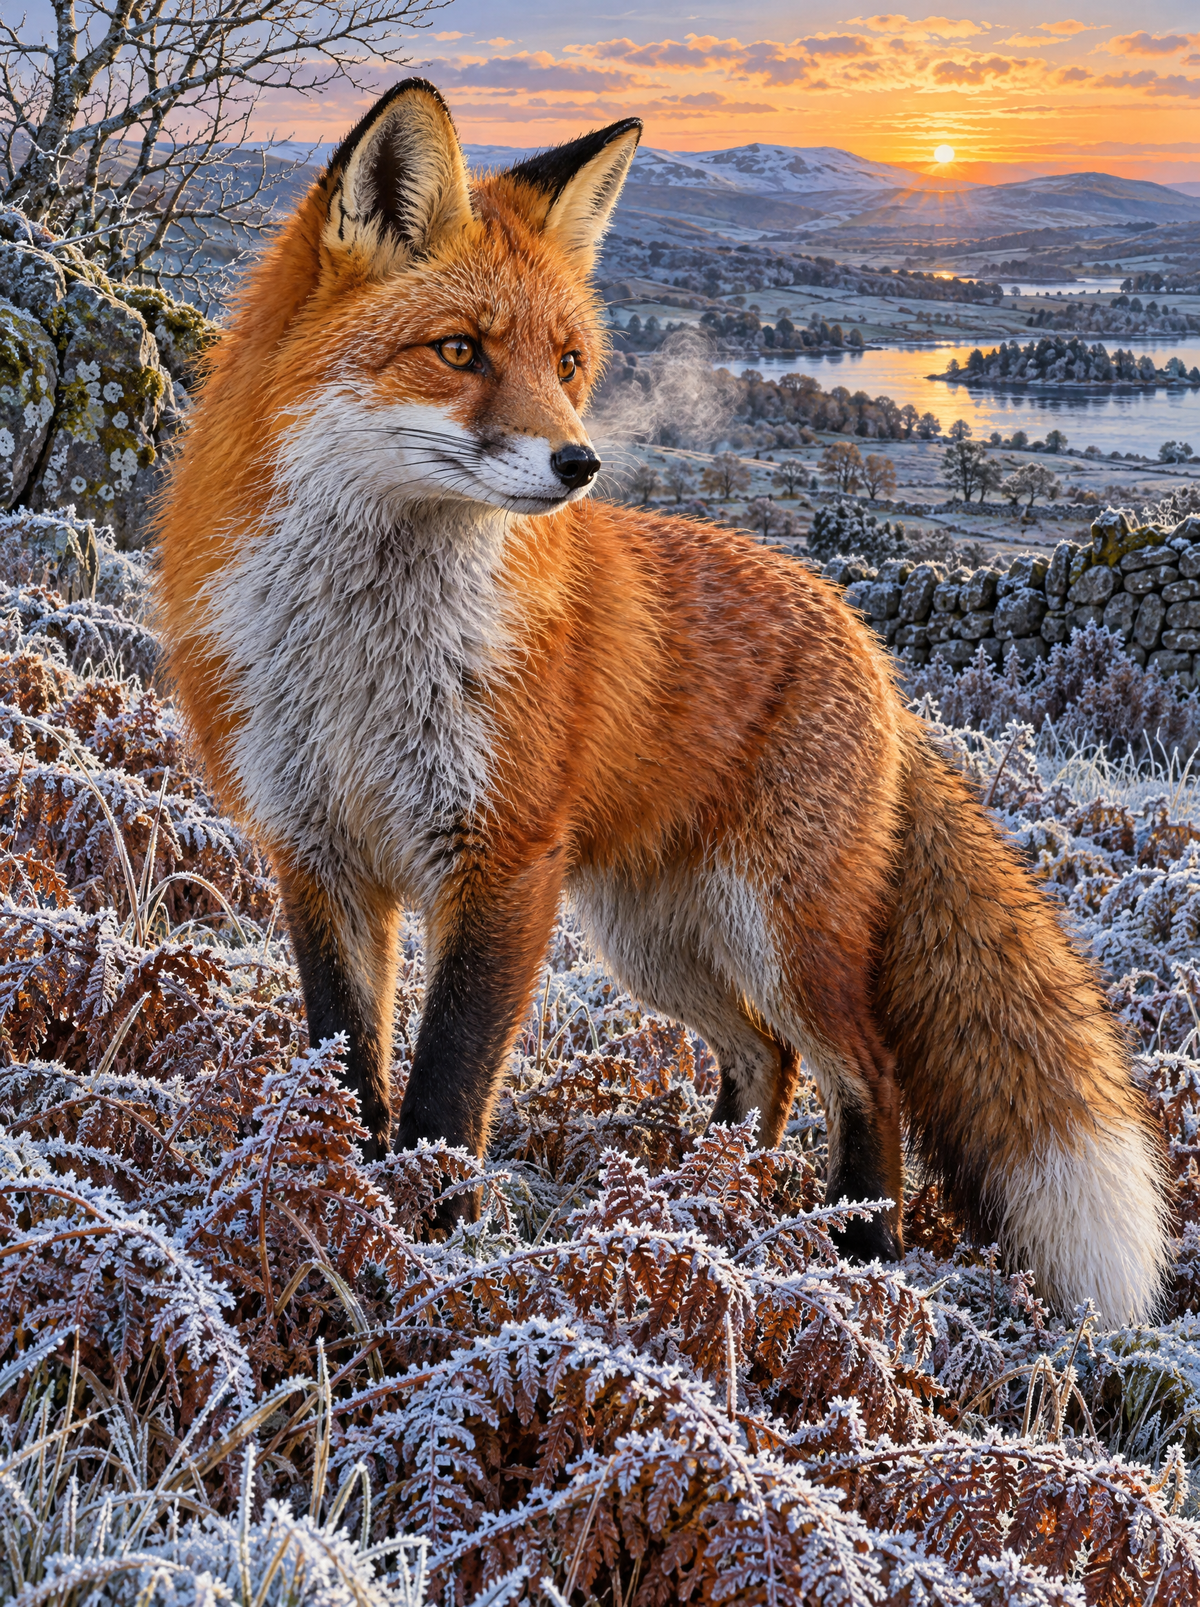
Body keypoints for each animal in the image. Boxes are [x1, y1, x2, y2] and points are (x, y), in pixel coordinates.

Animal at [156, 78, 1169, 1322]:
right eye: (459, 350)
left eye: (569, 360)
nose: (580, 464)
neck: (366, 657)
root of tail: (867, 644)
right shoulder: (318, 853)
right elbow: (348, 1073)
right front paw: (332, 1207)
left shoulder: (501, 860)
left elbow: (445, 1096)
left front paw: (426, 1261)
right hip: (657, 941)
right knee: (764, 1061)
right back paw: (702, 1205)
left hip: (776, 928)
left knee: (864, 1067)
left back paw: (857, 1253)